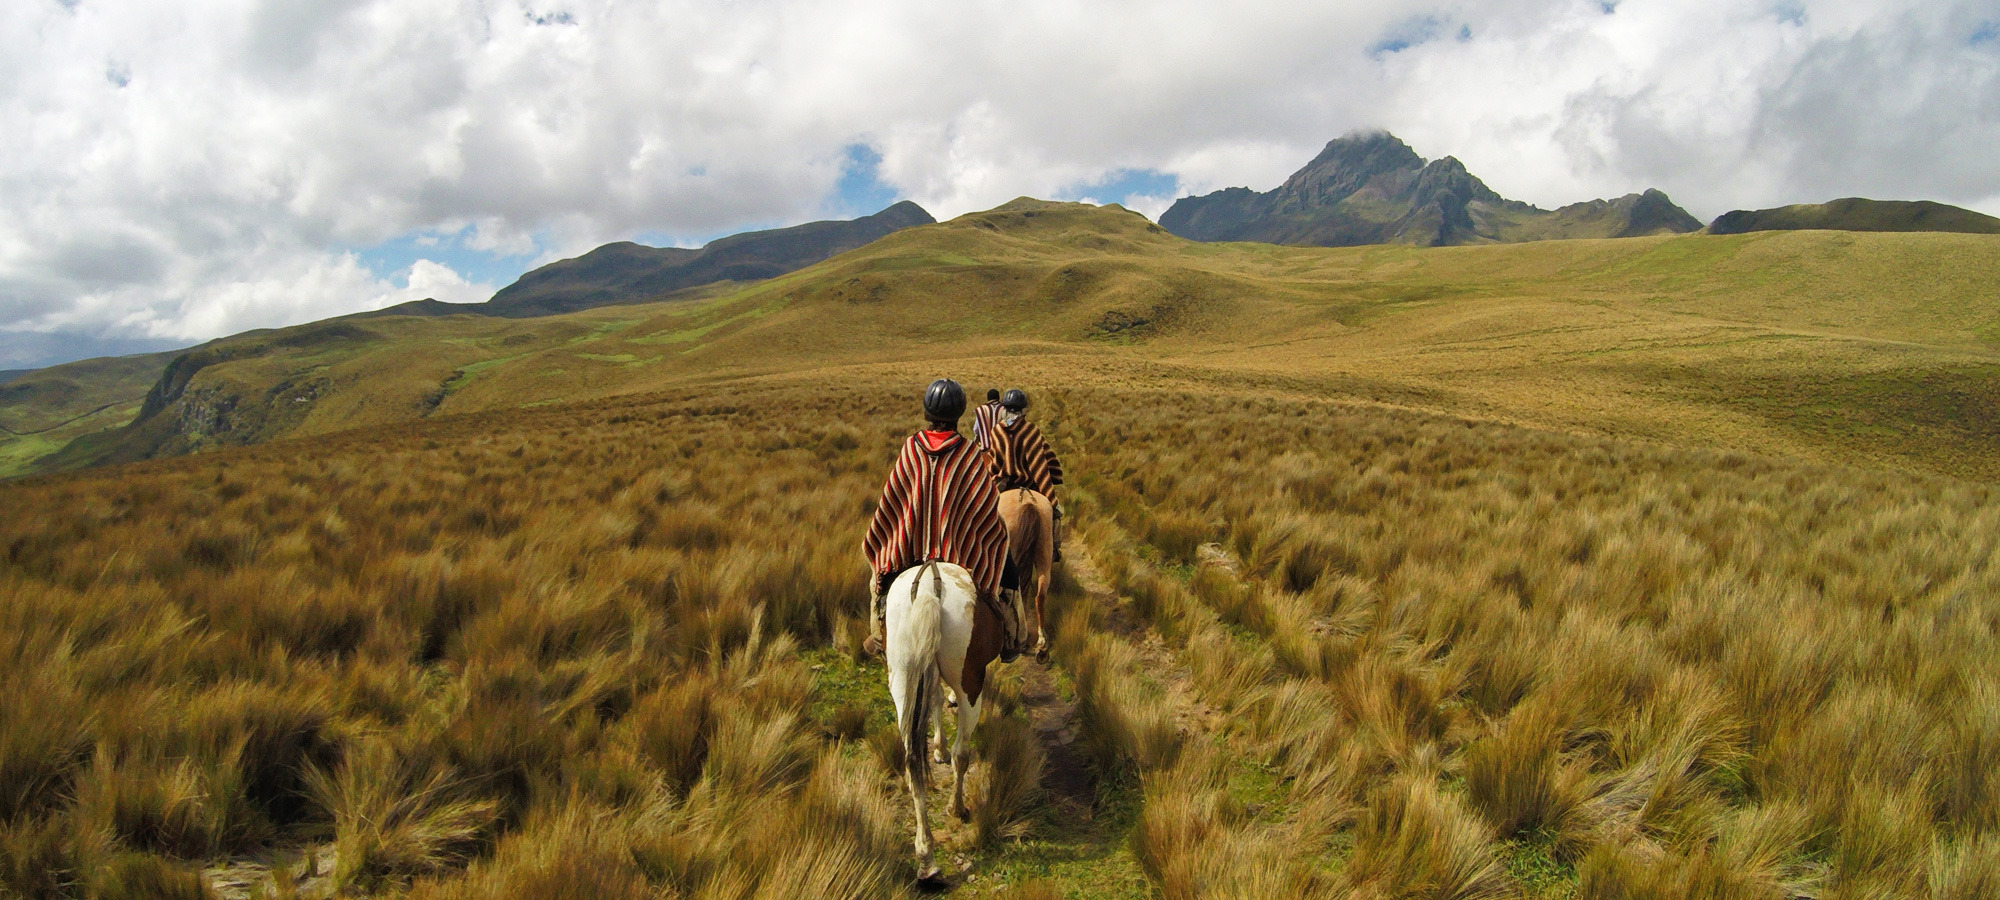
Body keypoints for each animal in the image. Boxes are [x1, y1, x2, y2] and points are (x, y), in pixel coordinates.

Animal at [884, 560, 1000, 884]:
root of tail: (927, 587)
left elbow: (933, 698)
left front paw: (938, 747)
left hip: (902, 678)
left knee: (911, 760)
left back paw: (926, 857)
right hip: (969, 683)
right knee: (963, 753)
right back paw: (956, 808)